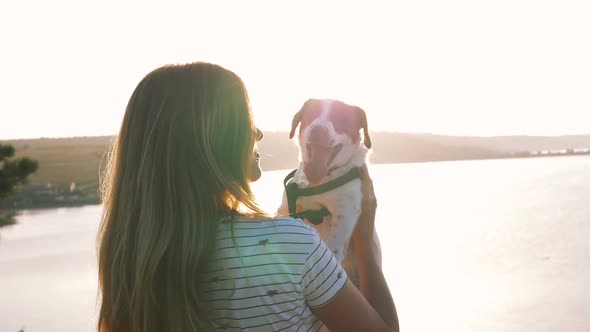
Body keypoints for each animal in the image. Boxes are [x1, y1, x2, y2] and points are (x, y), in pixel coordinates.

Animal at [278, 97, 384, 278]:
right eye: (312, 114)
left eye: (341, 119)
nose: (318, 130)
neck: (320, 181)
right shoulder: (287, 208)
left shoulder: (346, 211)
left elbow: (334, 247)